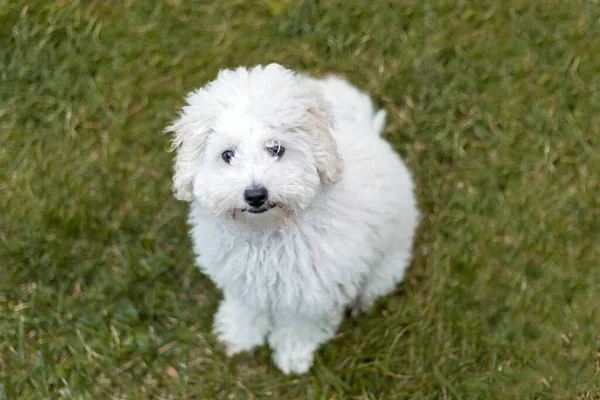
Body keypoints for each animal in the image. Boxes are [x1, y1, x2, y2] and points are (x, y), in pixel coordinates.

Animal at [166, 63, 420, 376]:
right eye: (227, 155)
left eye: (276, 148)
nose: (255, 194)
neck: (268, 232)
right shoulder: (243, 278)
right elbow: (246, 308)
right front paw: (238, 335)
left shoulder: (313, 291)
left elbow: (300, 326)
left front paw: (292, 356)